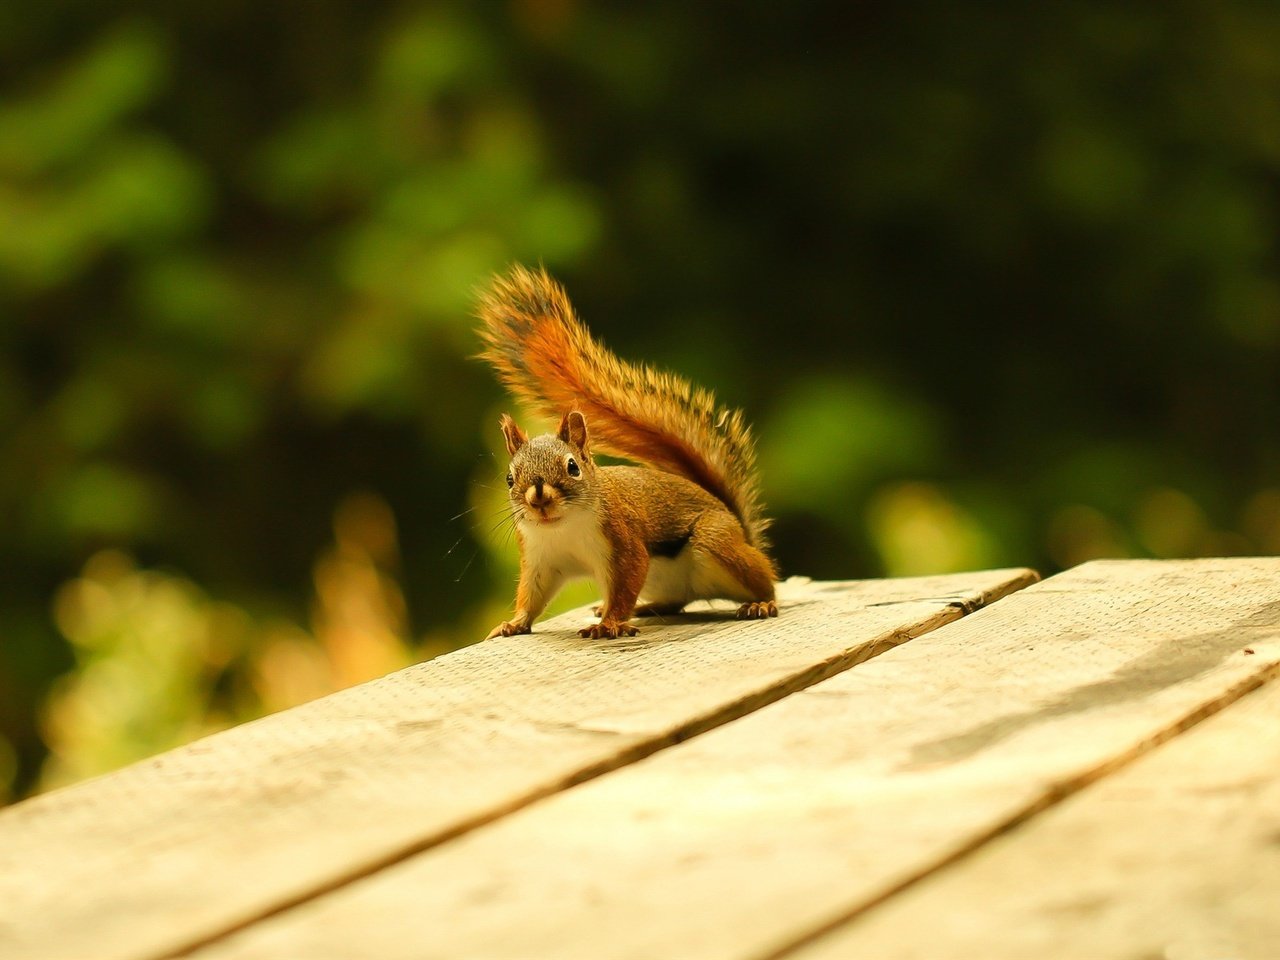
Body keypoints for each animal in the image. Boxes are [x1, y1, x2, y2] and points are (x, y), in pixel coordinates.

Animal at [481, 264, 778, 640]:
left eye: (573, 467)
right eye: (509, 478)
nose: (539, 498)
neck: (563, 528)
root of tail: (740, 529)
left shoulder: (624, 542)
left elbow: (625, 583)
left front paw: (608, 624)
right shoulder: (540, 560)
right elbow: (531, 596)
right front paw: (514, 623)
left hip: (718, 544)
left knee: (766, 579)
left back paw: (761, 603)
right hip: (665, 580)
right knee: (678, 600)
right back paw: (646, 608)